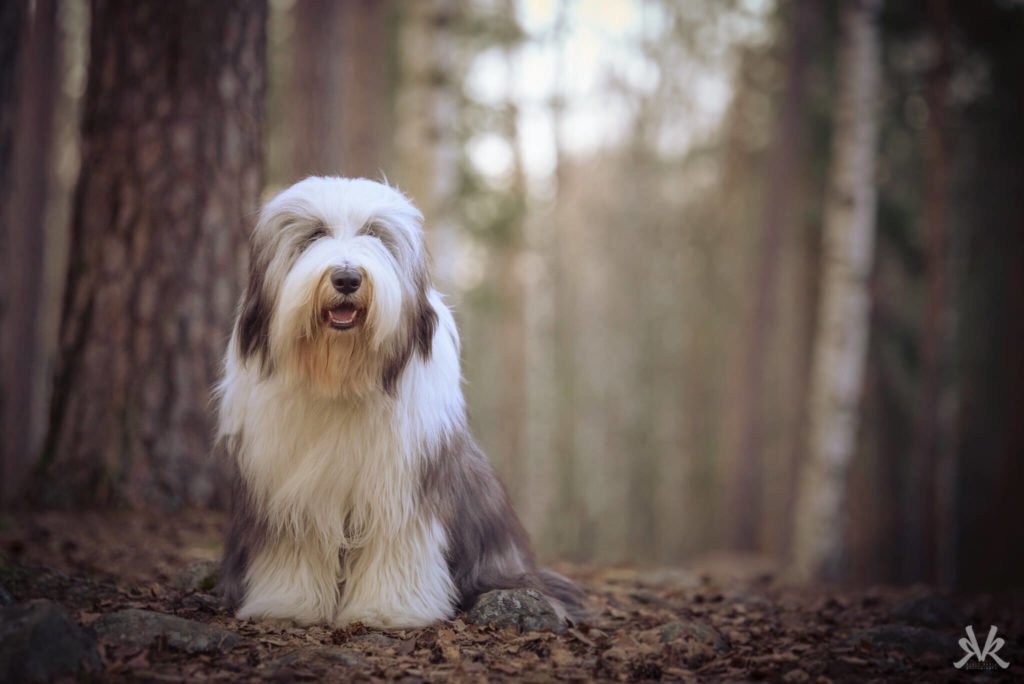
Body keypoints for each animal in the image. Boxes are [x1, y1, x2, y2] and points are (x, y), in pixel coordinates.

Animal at [216, 178, 585, 630]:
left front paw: (388, 610)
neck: (339, 377)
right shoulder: (286, 486)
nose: (346, 278)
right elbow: (294, 544)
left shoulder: (402, 482)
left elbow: (396, 543)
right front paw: (287, 603)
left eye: (374, 234)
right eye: (315, 234)